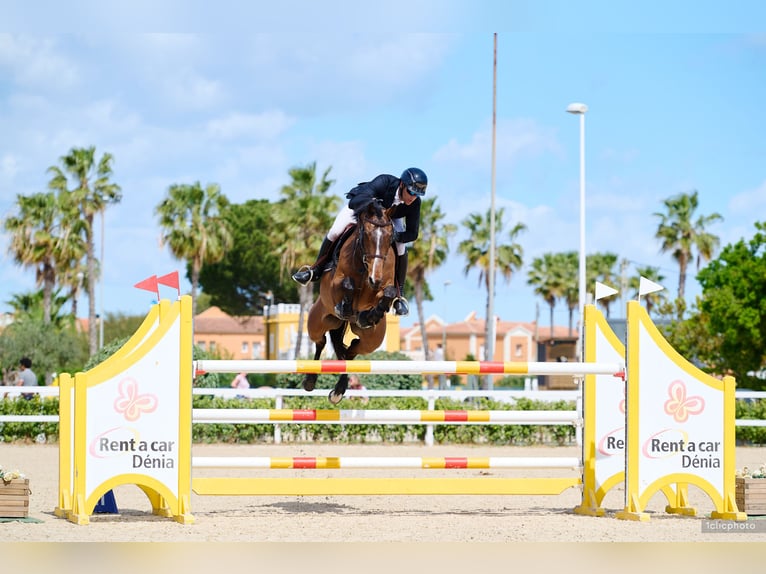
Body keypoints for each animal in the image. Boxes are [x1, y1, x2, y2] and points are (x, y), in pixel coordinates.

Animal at [303, 199, 398, 404]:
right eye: (367, 235)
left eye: (389, 237)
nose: (374, 279)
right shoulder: (334, 283)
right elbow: (347, 283)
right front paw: (346, 306)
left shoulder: (382, 285)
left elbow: (388, 292)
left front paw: (371, 314)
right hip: (317, 321)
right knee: (321, 341)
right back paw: (310, 381)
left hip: (372, 340)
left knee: (351, 350)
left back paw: (339, 389)